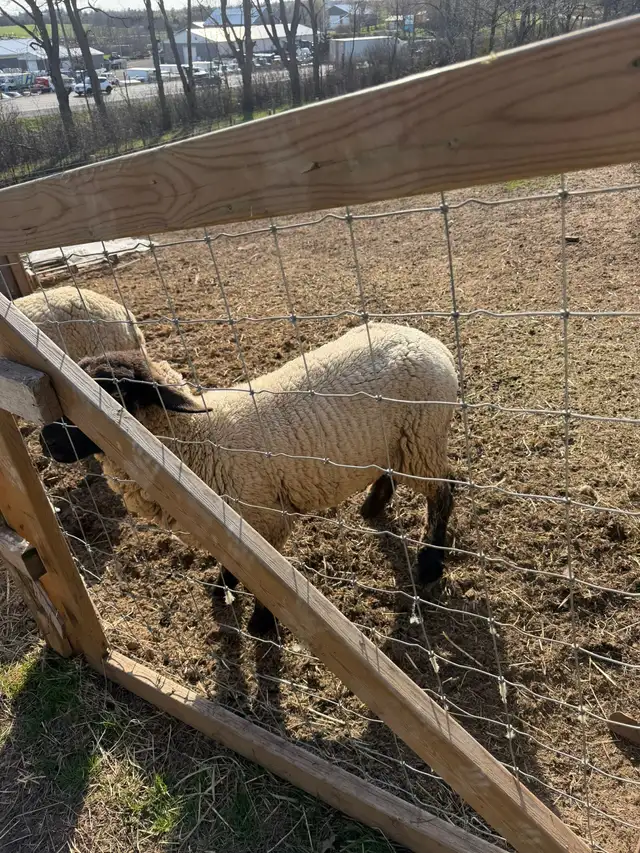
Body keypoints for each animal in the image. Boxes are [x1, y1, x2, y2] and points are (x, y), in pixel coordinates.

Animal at [40, 322, 458, 634]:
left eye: (114, 392)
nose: (46, 439)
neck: (198, 440)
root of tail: (432, 343)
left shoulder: (265, 519)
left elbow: (266, 581)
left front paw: (261, 622)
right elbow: (232, 563)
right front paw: (221, 587)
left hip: (422, 436)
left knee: (444, 491)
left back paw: (430, 563)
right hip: (399, 443)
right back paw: (372, 506)